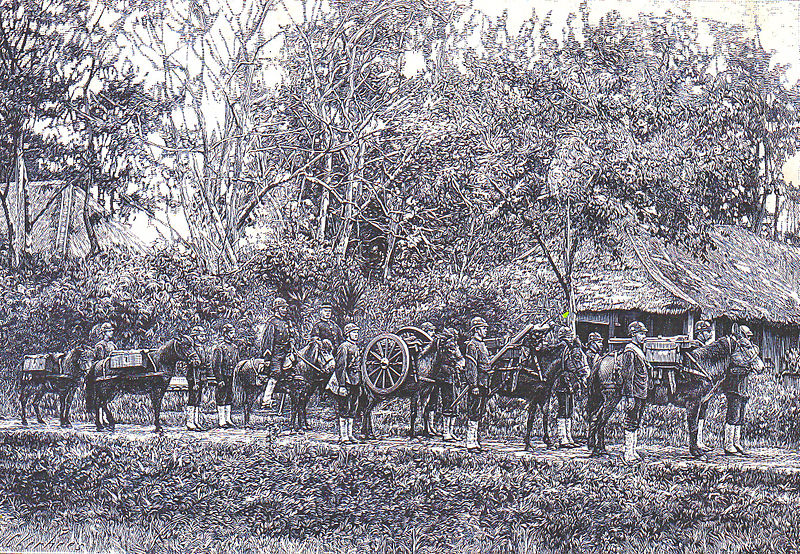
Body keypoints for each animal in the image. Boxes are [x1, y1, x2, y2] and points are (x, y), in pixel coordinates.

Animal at [584, 332, 764, 458]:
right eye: (746, 346)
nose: (761, 367)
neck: (702, 364)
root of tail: (604, 358)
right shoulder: (694, 403)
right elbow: (693, 426)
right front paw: (695, 452)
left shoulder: (702, 403)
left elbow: (699, 424)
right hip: (612, 397)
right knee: (600, 420)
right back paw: (600, 450)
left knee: (595, 418)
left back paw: (597, 448)